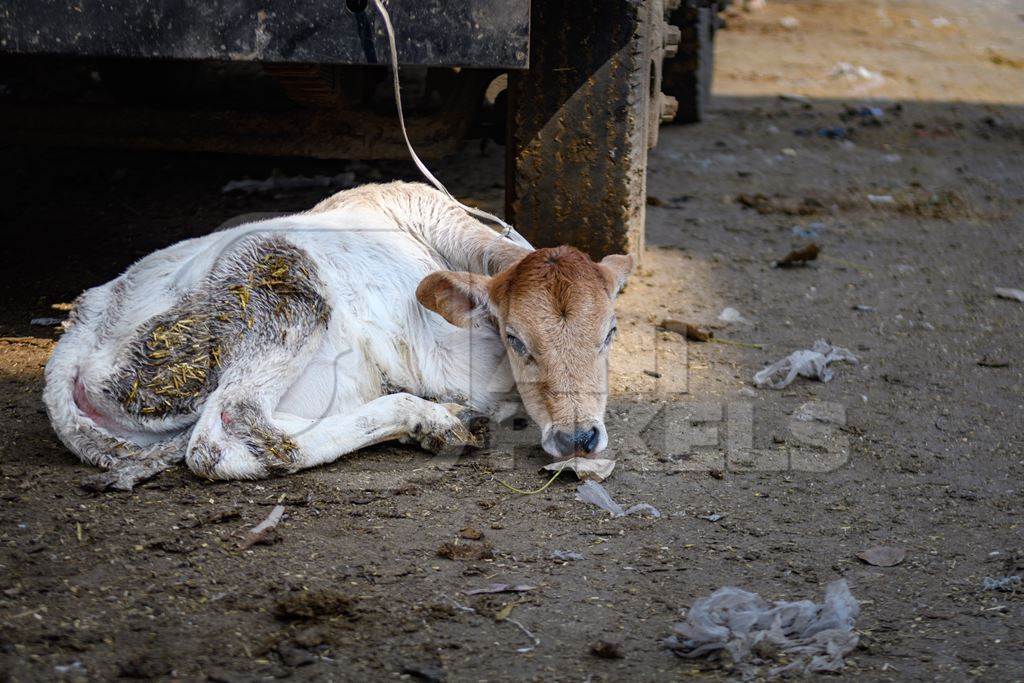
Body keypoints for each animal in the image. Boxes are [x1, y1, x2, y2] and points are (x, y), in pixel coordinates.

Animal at [46, 183, 630, 485]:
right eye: (515, 339)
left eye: (610, 332)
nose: (579, 439)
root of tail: (82, 322)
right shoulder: (451, 363)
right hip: (283, 290)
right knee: (224, 435)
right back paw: (430, 419)